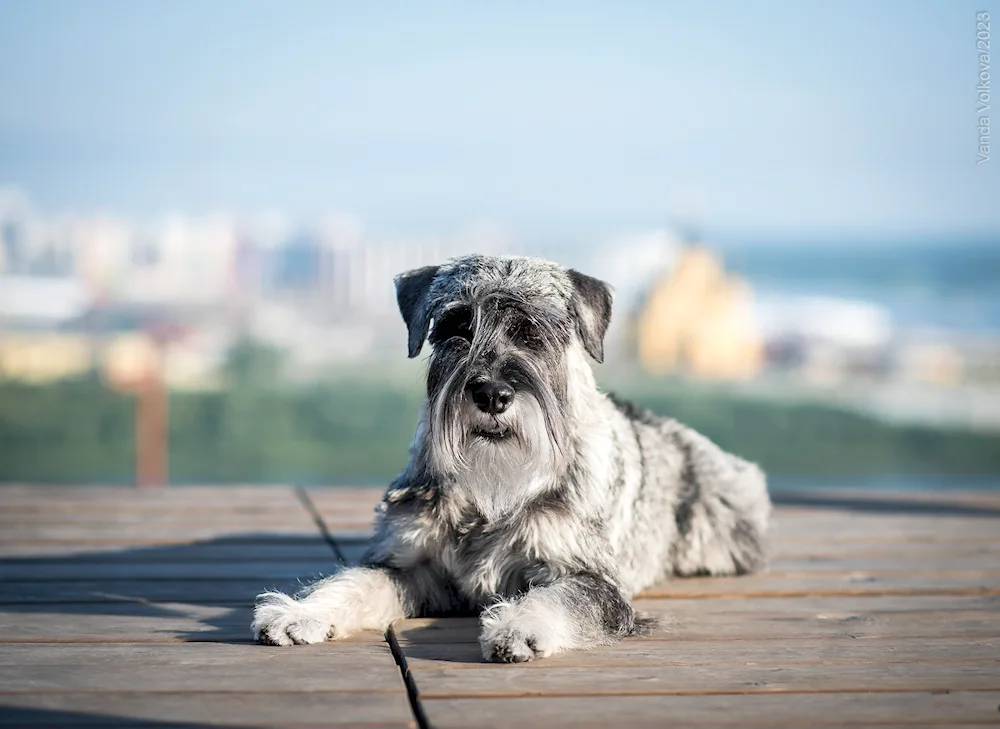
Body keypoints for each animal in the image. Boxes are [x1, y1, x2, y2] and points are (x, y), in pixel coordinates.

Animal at [252, 253, 772, 664]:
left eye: (535, 333)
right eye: (456, 327)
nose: (492, 394)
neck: (492, 490)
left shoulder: (588, 577)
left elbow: (560, 598)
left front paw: (520, 627)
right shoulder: (413, 566)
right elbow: (354, 582)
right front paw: (301, 612)